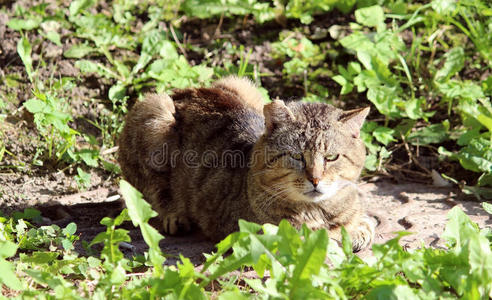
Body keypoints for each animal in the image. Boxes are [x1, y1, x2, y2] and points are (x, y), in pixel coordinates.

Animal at [117, 77, 374, 251]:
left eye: (331, 157)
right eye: (297, 156)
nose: (315, 179)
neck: (318, 210)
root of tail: (183, 91)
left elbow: (357, 225)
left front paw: (357, 227)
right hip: (153, 112)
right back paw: (174, 215)